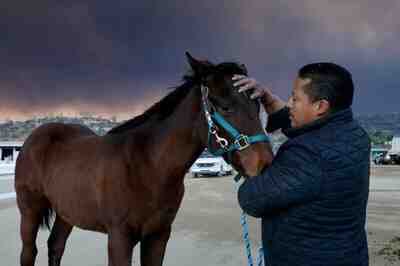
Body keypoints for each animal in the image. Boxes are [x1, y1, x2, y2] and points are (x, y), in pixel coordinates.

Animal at [14, 52, 274, 266]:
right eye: (224, 106)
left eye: (256, 104)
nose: (264, 164)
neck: (148, 165)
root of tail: (34, 137)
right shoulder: (119, 238)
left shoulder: (158, 235)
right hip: (29, 211)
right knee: (29, 252)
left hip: (66, 211)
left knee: (56, 246)